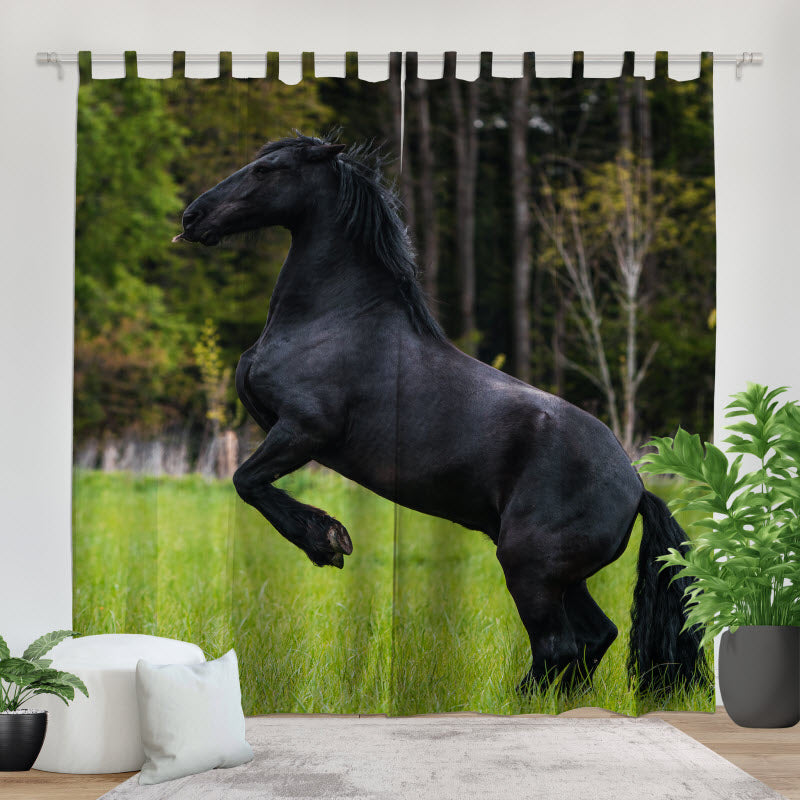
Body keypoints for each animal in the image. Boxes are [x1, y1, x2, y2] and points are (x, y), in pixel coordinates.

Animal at [174, 133, 708, 696]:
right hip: (560, 575)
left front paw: (327, 541)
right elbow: (249, 480)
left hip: (530, 566)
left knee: (558, 646)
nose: (192, 217)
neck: (334, 319)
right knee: (593, 637)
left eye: (267, 169)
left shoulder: (303, 428)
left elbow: (246, 480)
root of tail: (636, 486)